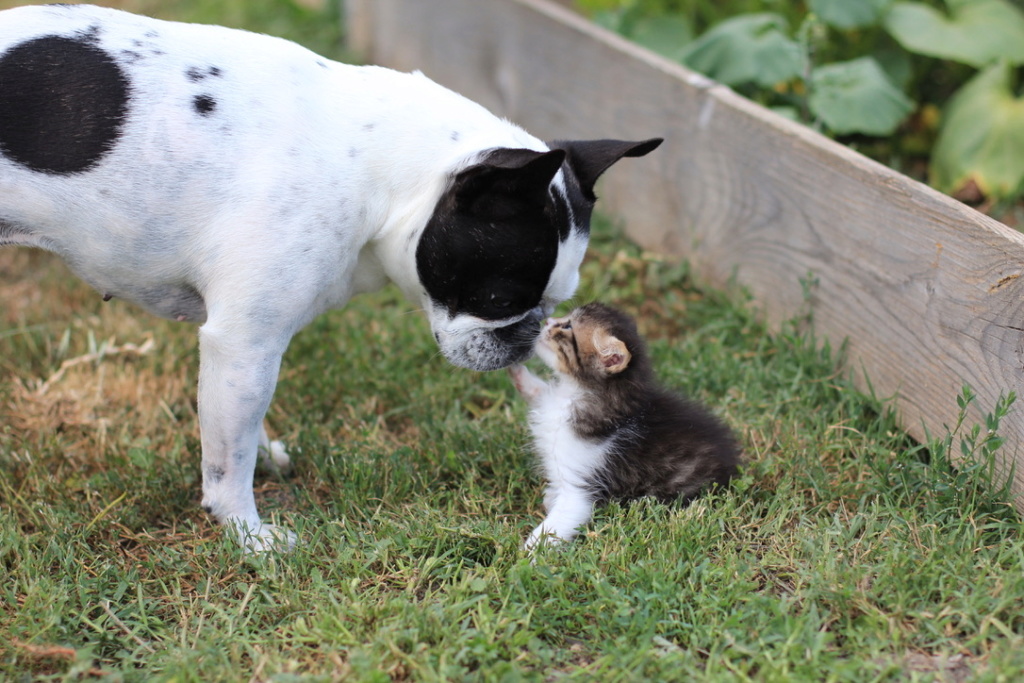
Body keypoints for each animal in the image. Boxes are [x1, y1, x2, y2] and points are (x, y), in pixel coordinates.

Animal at [0, 3, 663, 548]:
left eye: (558, 303)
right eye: (501, 297)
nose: (527, 335)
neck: (374, 163)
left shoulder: (242, 352)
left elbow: (235, 427)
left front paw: (263, 456)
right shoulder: (245, 342)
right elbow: (226, 462)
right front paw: (249, 536)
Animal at [509, 303, 737, 548]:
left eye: (568, 326)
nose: (547, 321)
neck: (575, 393)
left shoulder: (581, 489)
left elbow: (553, 527)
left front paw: (527, 554)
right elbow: (540, 392)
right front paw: (517, 371)